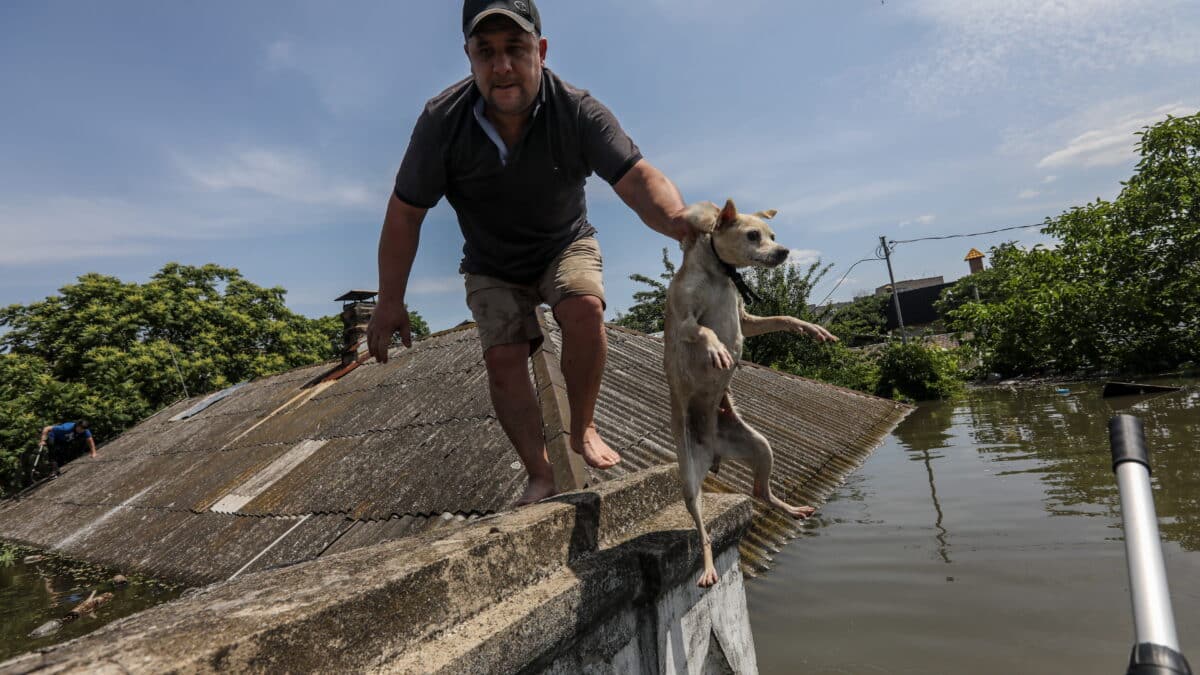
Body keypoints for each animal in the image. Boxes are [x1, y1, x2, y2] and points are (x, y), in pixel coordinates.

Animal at [662, 198, 840, 583]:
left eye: (773, 235)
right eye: (753, 235)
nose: (784, 250)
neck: (720, 275)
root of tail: (714, 450)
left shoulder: (747, 320)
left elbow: (782, 320)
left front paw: (811, 328)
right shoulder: (684, 322)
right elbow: (704, 331)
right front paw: (718, 349)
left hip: (760, 447)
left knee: (761, 491)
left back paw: (791, 508)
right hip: (690, 481)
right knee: (703, 532)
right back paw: (708, 567)